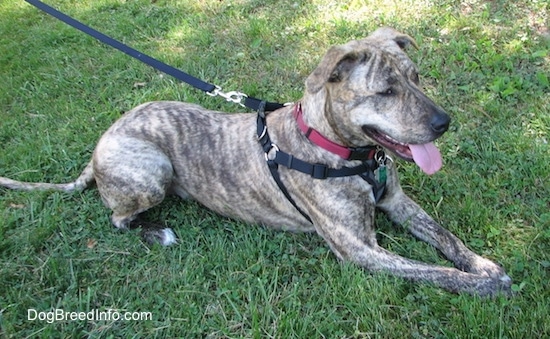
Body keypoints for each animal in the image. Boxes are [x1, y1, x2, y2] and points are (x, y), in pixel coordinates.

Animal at [0, 27, 512, 296]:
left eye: (416, 77)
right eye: (385, 91)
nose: (444, 122)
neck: (341, 150)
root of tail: (99, 146)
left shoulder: (399, 204)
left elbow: (446, 238)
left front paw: (483, 266)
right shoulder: (360, 249)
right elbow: (432, 270)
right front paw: (484, 286)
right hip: (151, 170)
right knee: (118, 218)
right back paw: (156, 231)